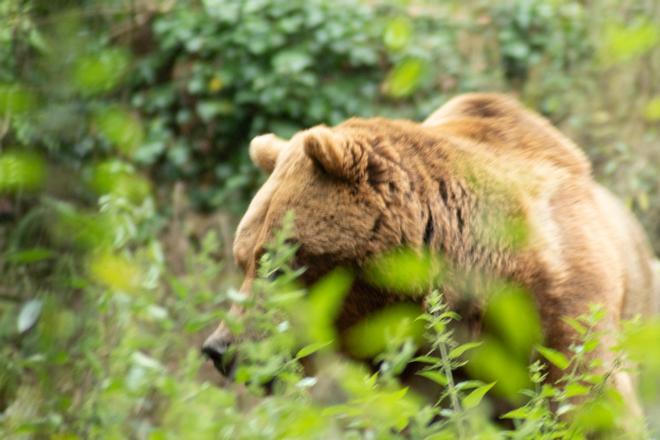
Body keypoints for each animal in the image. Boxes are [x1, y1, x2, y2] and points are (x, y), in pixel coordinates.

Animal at [204, 92, 656, 416]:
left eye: (279, 264)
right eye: (243, 259)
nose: (219, 349)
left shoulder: (559, 309)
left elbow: (584, 397)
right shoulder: (420, 367)